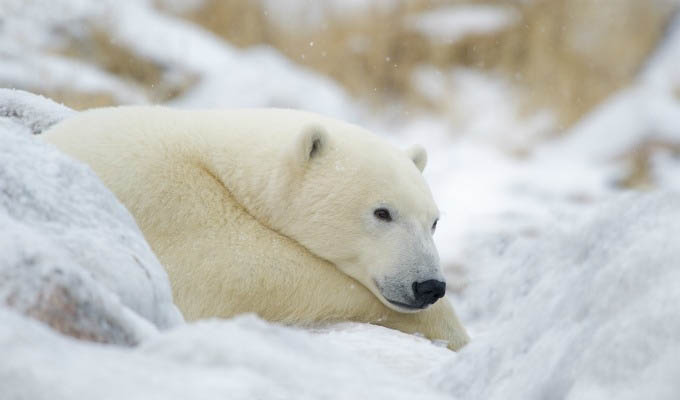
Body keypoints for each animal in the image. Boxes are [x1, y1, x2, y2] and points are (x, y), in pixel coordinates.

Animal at [41, 106, 468, 350]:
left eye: (433, 221)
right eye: (383, 213)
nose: (429, 285)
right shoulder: (166, 196)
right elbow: (236, 273)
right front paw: (451, 330)